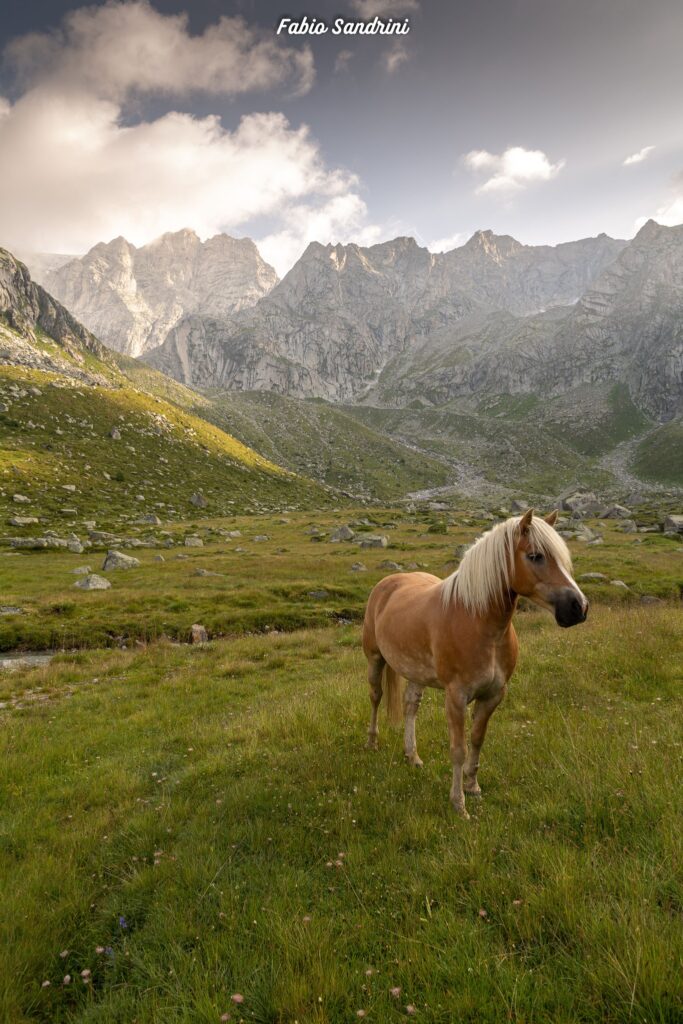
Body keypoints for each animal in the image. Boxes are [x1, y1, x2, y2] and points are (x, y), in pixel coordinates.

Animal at [360, 507, 589, 819]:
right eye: (535, 556)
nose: (579, 607)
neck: (478, 623)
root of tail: (387, 583)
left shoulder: (493, 695)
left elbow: (477, 739)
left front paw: (472, 786)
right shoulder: (456, 697)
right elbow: (458, 748)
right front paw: (458, 804)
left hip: (416, 673)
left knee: (410, 707)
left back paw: (413, 756)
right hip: (375, 659)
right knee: (375, 696)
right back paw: (372, 742)